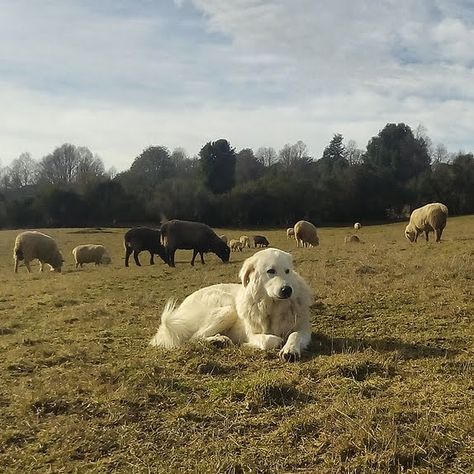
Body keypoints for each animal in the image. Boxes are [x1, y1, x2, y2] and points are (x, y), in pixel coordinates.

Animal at [150, 246, 312, 362]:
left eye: (287, 271)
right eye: (271, 271)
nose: (287, 290)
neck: (274, 306)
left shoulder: (303, 330)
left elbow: (295, 334)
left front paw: (290, 349)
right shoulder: (252, 334)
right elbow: (271, 340)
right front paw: (251, 344)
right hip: (228, 309)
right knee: (194, 337)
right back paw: (218, 340)